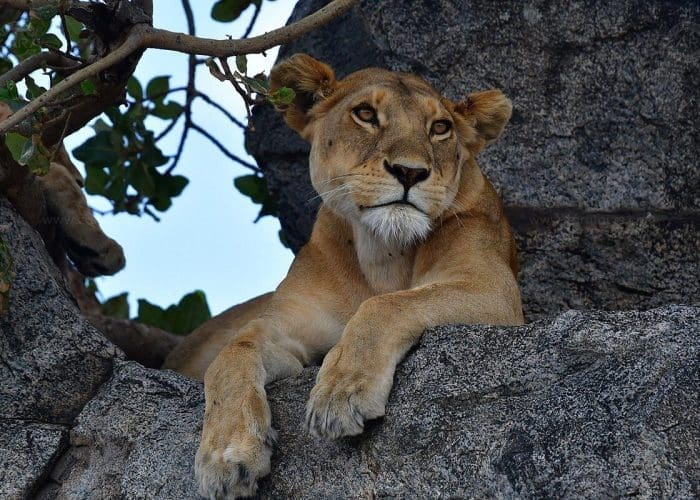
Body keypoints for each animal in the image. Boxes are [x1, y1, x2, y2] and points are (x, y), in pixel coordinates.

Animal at [162, 53, 524, 498]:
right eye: (365, 114)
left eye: (440, 128)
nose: (409, 172)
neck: (383, 252)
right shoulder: (289, 325)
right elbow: (233, 353)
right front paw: (227, 455)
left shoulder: (496, 290)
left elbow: (383, 306)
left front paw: (340, 394)